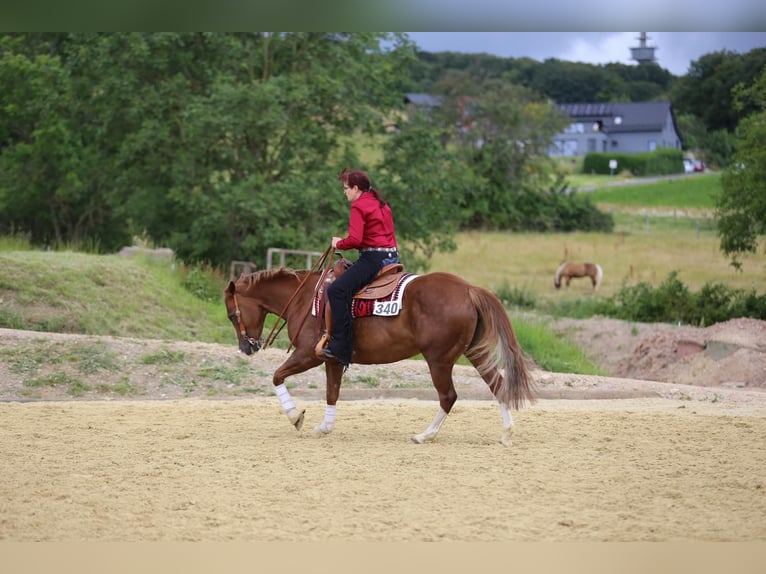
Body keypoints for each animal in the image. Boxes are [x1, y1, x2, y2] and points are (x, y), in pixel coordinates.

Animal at [222, 268, 536, 448]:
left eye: (232, 314)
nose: (246, 347)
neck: (305, 298)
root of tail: (469, 289)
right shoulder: (333, 359)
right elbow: (332, 393)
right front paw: (324, 427)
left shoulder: (308, 354)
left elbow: (277, 376)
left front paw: (295, 416)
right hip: (473, 352)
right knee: (497, 385)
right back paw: (506, 433)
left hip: (438, 359)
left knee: (448, 396)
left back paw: (425, 436)